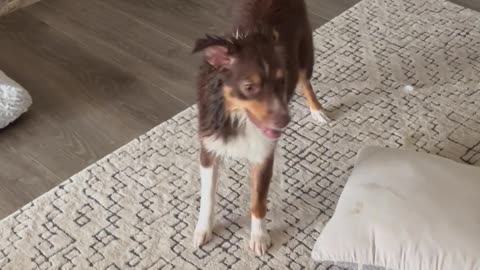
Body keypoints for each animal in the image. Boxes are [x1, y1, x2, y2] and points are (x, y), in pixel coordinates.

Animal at [191, 0, 330, 255]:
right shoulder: (209, 149)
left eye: (282, 81)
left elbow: (258, 200)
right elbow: (207, 197)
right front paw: (203, 230)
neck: (236, 117)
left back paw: (317, 110)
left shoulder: (263, 155)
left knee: (305, 80)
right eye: (249, 87)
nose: (285, 121)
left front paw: (259, 237)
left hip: (305, 52)